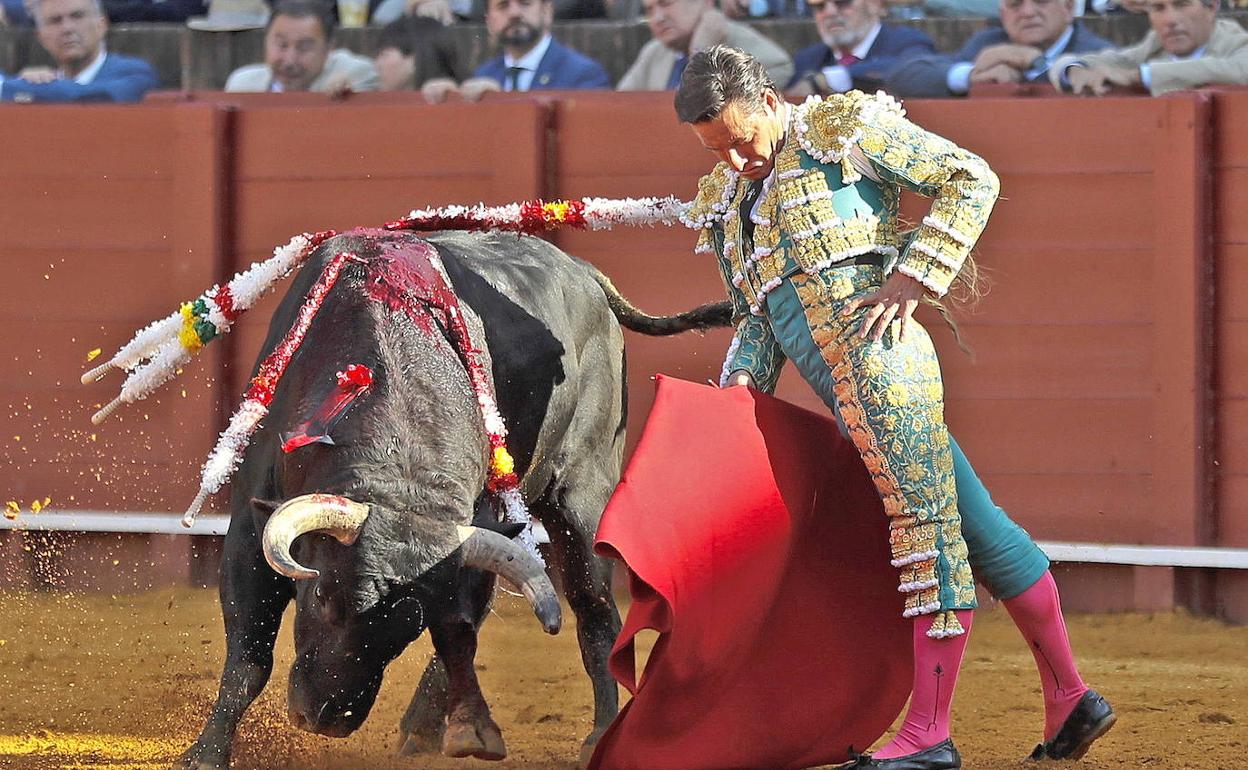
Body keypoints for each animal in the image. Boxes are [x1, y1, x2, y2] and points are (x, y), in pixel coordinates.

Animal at [170, 229, 728, 768]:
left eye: (404, 634)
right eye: (323, 598)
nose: (325, 719)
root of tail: (586, 274)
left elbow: (457, 633)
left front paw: (471, 730)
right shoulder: (249, 530)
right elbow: (249, 656)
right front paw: (205, 754)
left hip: (583, 498)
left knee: (594, 610)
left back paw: (596, 735)